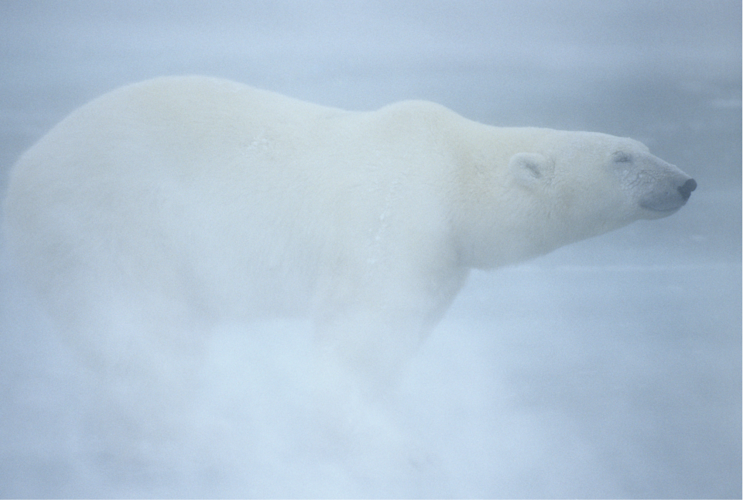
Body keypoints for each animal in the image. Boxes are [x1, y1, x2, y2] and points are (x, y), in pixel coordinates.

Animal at [2, 76, 696, 382]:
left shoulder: (444, 256)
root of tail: (26, 164)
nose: (686, 181)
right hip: (107, 218)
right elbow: (363, 326)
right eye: (622, 158)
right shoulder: (395, 214)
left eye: (644, 146)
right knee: (137, 317)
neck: (454, 170)